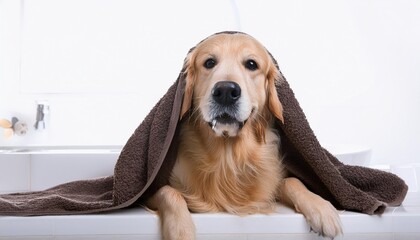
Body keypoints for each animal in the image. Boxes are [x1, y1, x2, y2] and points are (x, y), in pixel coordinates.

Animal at [146, 33, 342, 240]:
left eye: (251, 64)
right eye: (209, 62)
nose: (225, 91)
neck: (228, 155)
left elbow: (292, 181)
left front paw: (322, 208)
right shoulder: (152, 189)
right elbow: (168, 191)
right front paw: (181, 230)